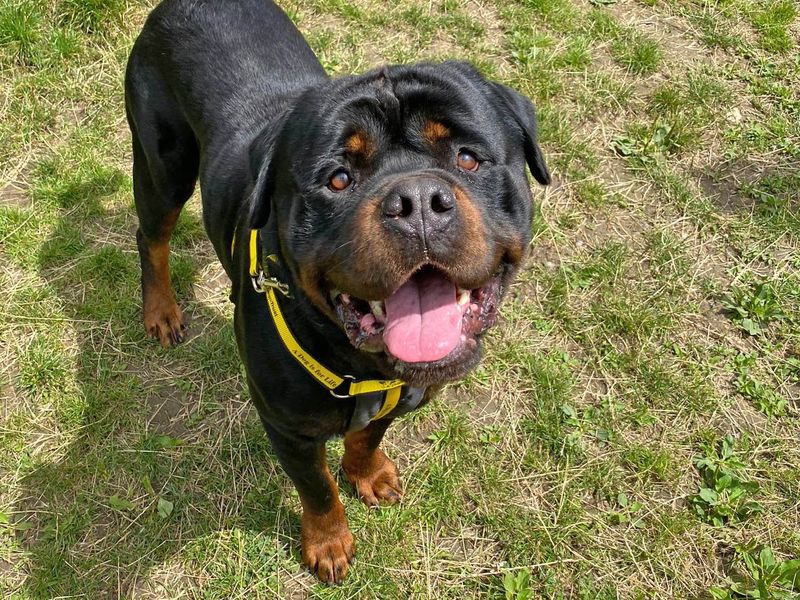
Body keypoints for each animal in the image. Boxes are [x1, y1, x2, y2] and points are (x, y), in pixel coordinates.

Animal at [125, 0, 552, 584]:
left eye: (468, 158)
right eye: (337, 179)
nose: (417, 201)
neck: (359, 361)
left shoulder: (397, 393)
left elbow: (368, 436)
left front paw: (368, 473)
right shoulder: (288, 428)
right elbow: (317, 488)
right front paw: (328, 542)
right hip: (163, 165)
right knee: (153, 236)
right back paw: (162, 310)